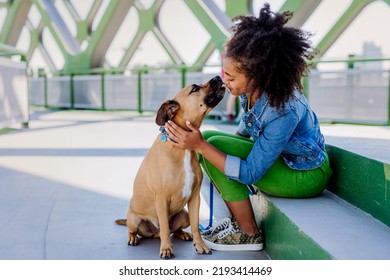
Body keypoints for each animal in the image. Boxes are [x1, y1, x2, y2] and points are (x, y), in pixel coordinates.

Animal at [116, 75, 224, 260]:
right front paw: (166, 249)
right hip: (134, 219)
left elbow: (196, 225)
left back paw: (184, 234)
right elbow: (165, 229)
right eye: (195, 88)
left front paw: (200, 245)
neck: (181, 149)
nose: (217, 76)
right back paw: (133, 238)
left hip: (184, 214)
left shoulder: (195, 198)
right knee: (136, 230)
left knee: (177, 229)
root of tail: (153, 234)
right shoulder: (161, 198)